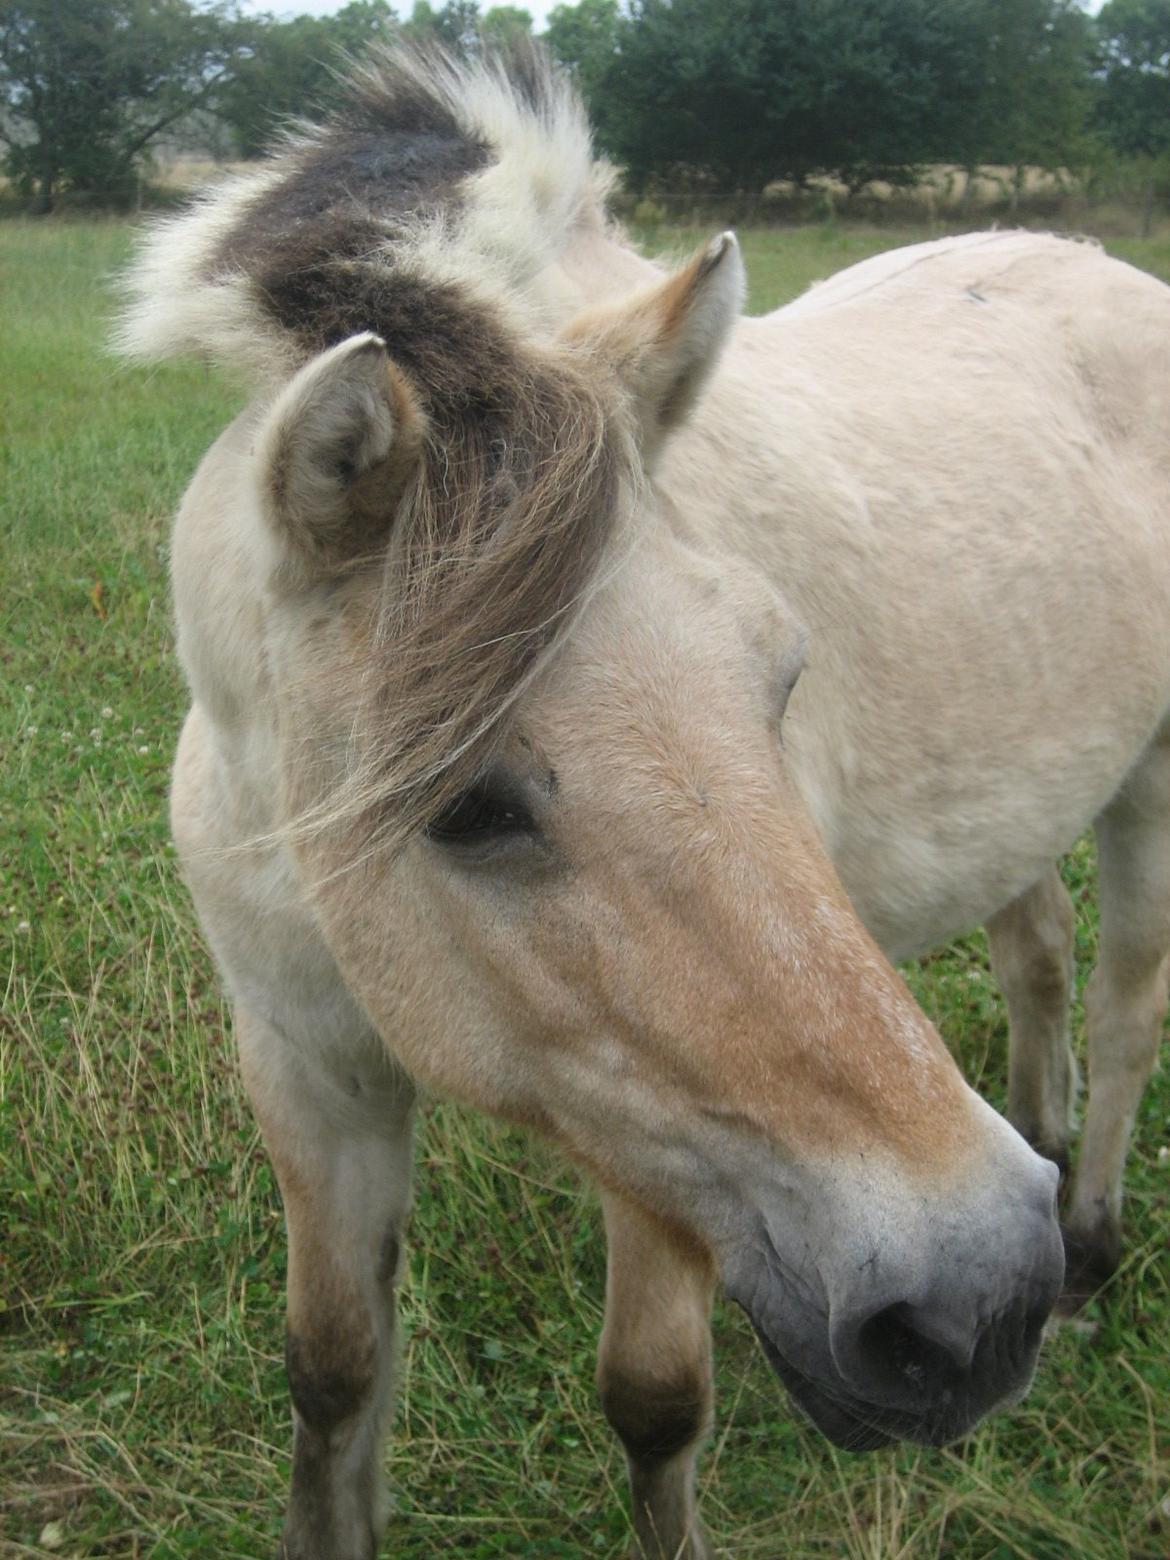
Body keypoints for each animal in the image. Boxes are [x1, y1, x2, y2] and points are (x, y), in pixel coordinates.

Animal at [121, 45, 1170, 1560]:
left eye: (781, 673)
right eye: (465, 804)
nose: (978, 1297)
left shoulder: (648, 1141)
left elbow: (654, 1401)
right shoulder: (305, 1063)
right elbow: (332, 1370)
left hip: (1146, 785)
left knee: (1127, 1002)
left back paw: (1085, 1246)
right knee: (1036, 956)